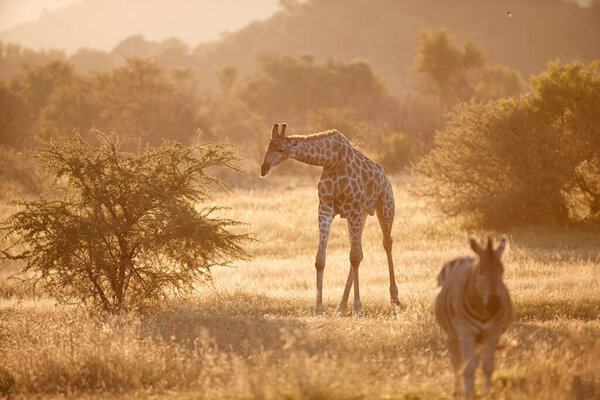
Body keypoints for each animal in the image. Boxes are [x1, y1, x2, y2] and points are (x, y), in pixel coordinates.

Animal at [260, 122, 400, 316]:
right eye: (268, 146)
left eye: (281, 149)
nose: (264, 168)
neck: (331, 161)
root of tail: (385, 177)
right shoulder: (325, 208)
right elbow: (321, 259)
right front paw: (319, 307)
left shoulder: (353, 208)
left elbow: (354, 257)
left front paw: (357, 307)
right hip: (362, 214)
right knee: (359, 251)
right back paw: (341, 306)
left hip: (385, 207)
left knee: (386, 243)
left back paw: (394, 298)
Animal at [434, 234, 512, 396]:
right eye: (481, 272)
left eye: (502, 271)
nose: (494, 305)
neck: (482, 311)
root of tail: (465, 257)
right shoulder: (466, 332)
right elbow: (467, 369)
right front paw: (467, 394)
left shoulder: (492, 333)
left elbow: (487, 367)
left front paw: (487, 394)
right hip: (452, 337)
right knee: (457, 363)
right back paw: (457, 391)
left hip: (477, 340)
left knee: (473, 361)